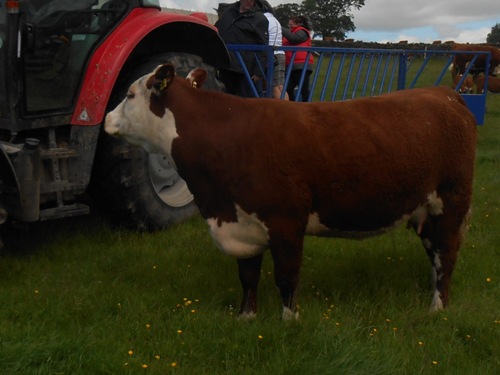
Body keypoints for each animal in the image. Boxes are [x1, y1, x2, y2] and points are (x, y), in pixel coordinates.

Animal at [104, 64, 476, 320]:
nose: (106, 118)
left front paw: (289, 320)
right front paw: (246, 317)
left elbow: (286, 277)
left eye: (130, 95)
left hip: (451, 202)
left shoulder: (286, 222)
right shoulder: (241, 221)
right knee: (435, 254)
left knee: (447, 255)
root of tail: (444, 93)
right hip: (426, 211)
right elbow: (248, 275)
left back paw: (437, 307)